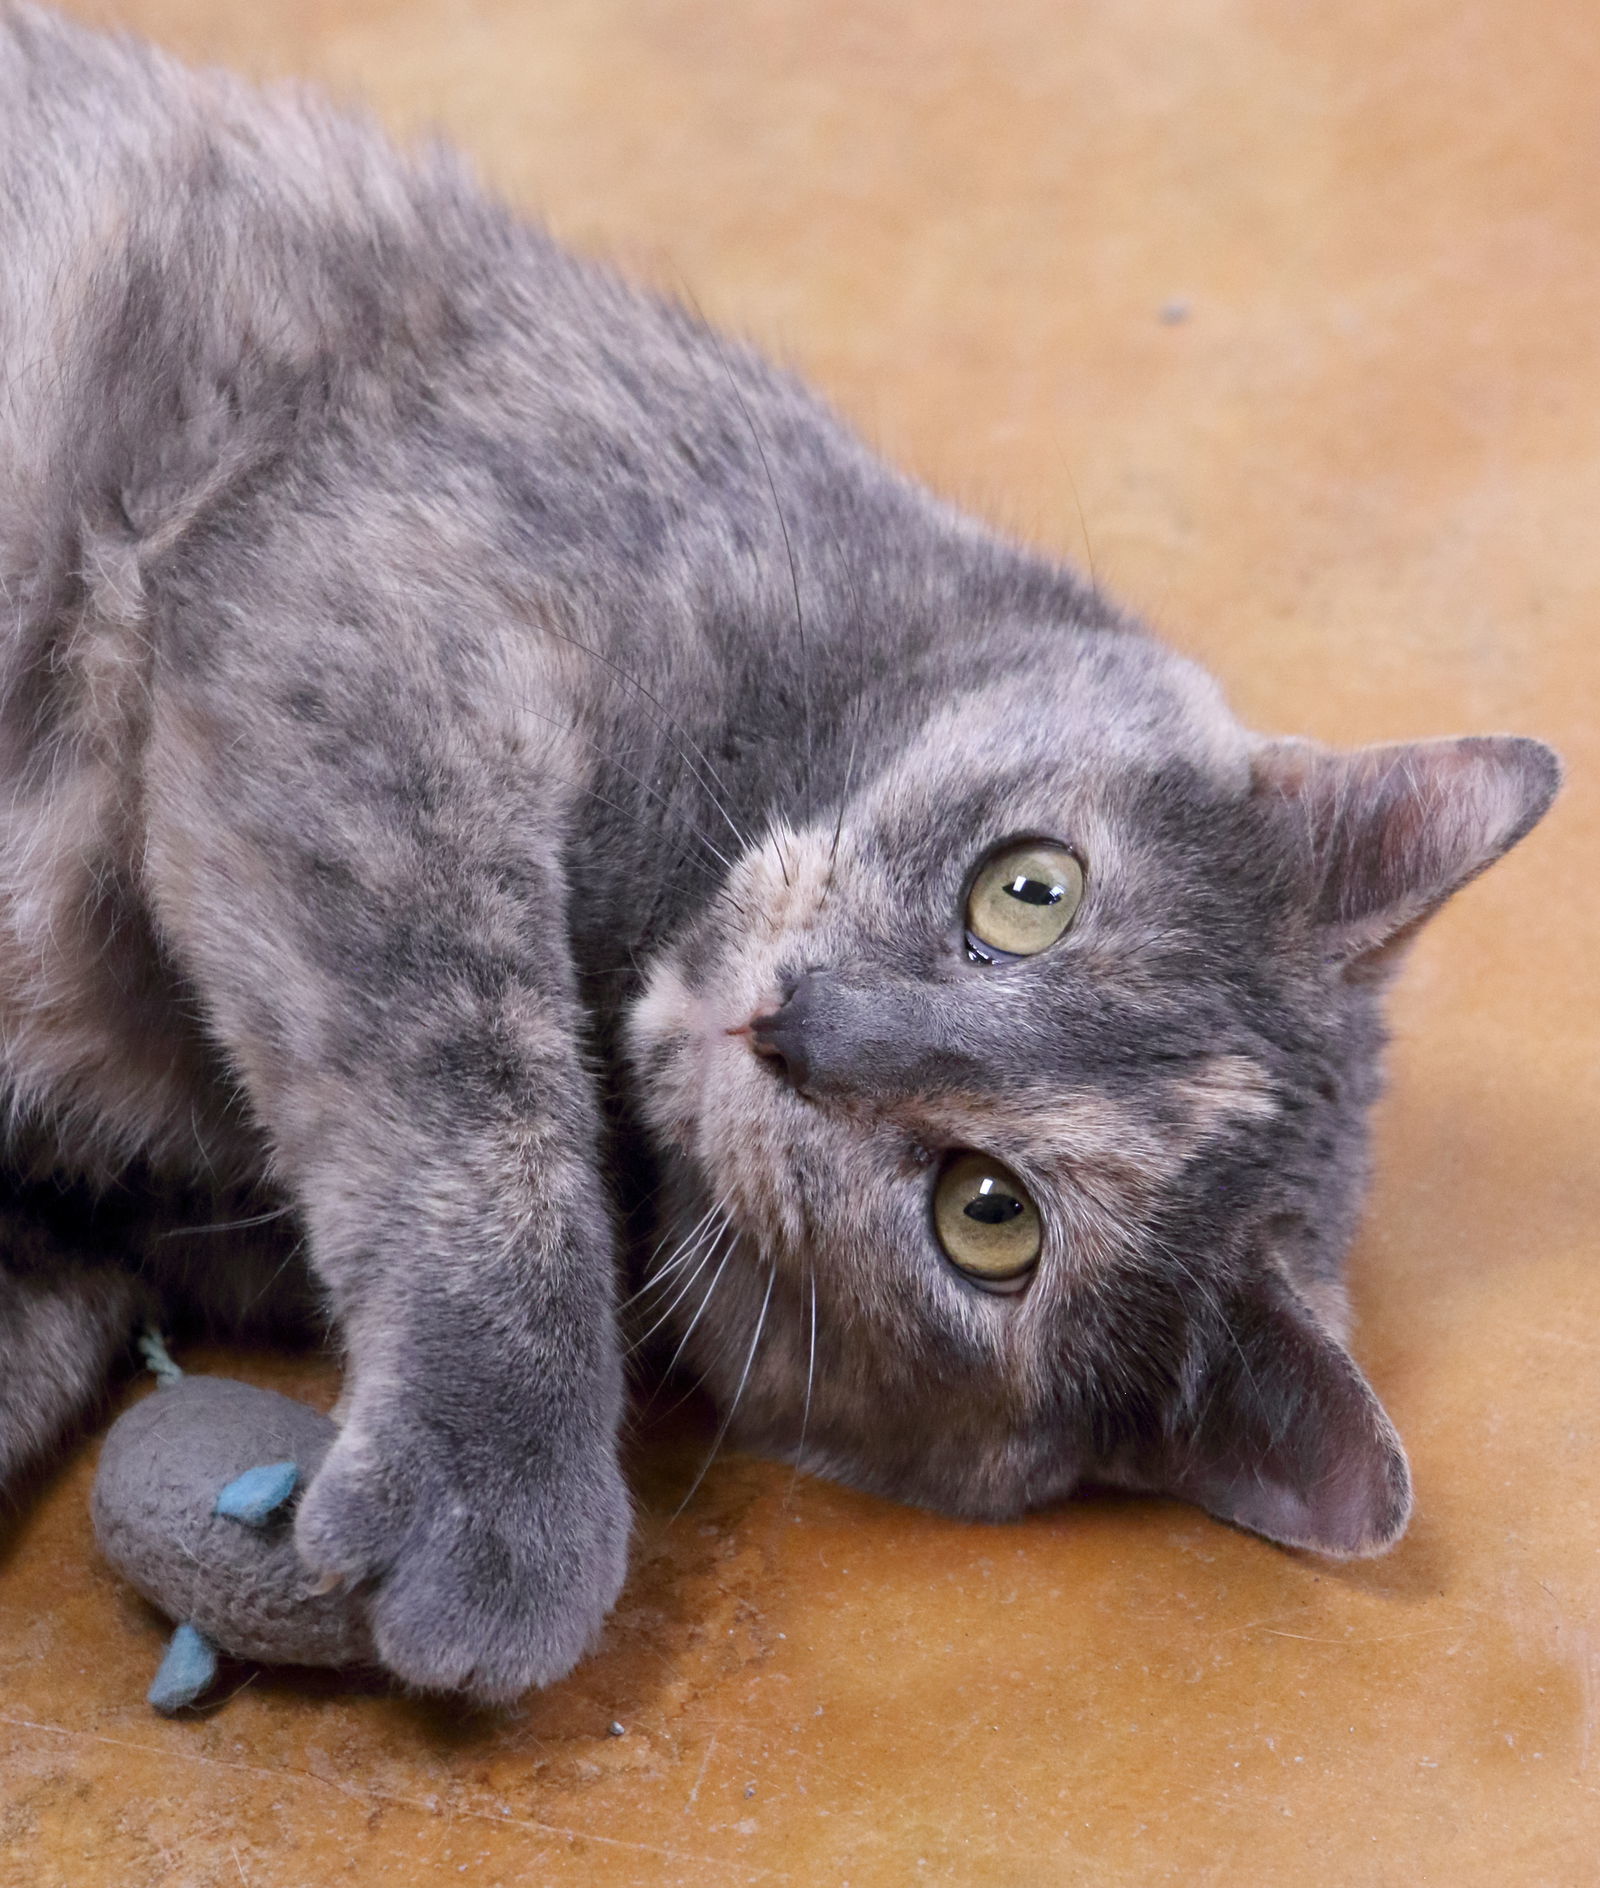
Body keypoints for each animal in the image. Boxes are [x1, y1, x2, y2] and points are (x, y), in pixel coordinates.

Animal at [0, 3, 1556, 1714]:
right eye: (1030, 890)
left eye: (988, 1216)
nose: (800, 1026)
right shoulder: (373, 607)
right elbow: (477, 1083)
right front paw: (500, 1508)